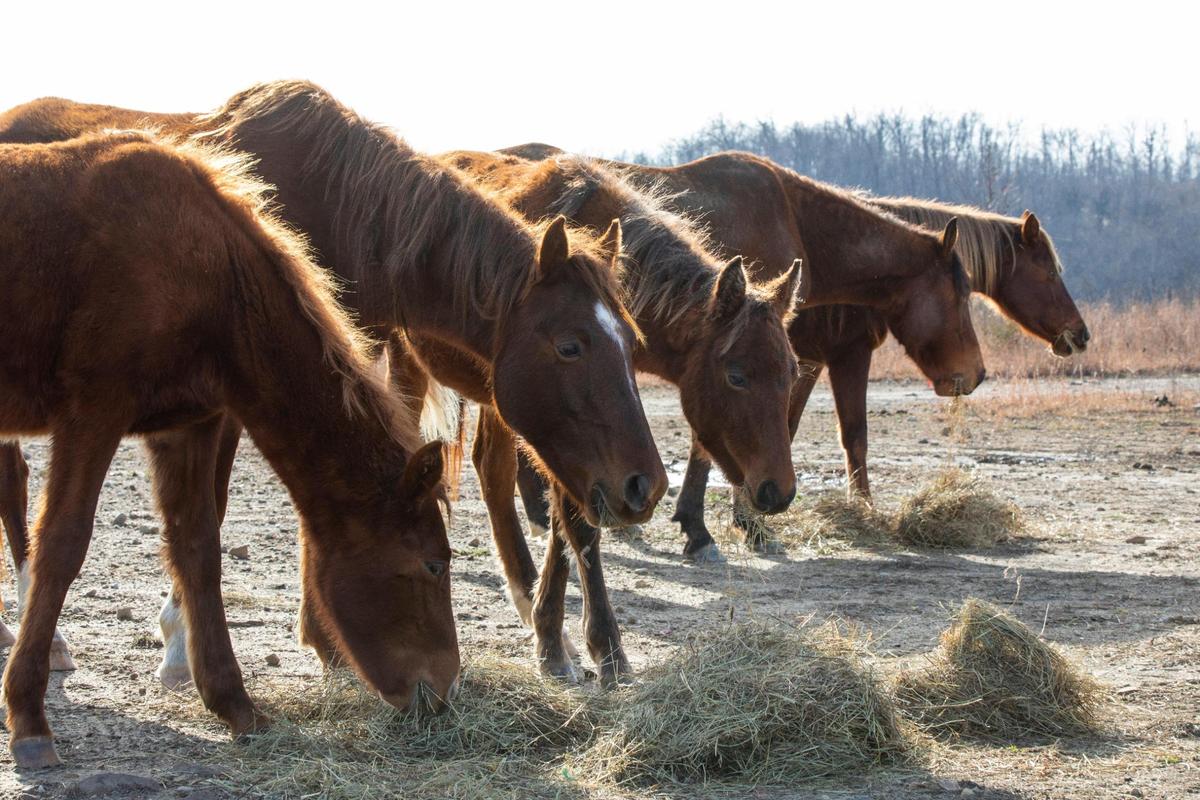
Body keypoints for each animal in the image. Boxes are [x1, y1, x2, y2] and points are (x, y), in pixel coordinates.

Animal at [0, 83, 666, 686]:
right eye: (570, 345)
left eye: (632, 343)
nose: (646, 486)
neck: (335, 209)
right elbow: (211, 506)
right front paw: (182, 644)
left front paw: (323, 641)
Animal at [0, 131, 456, 768]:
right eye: (434, 565)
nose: (443, 692)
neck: (206, 270)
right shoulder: (92, 413)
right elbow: (63, 547)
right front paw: (28, 717)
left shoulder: (187, 426)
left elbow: (198, 550)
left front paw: (234, 704)